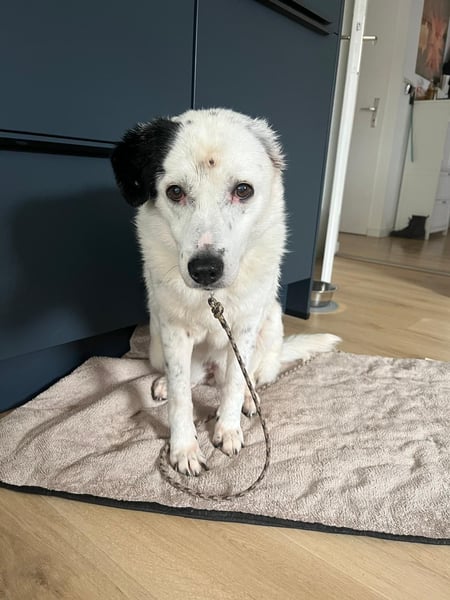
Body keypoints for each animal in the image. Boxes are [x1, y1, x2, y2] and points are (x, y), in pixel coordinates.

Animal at [111, 108, 340, 475]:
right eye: (174, 191)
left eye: (243, 190)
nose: (205, 270)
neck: (211, 299)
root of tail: (210, 371)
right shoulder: (174, 331)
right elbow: (181, 397)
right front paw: (184, 448)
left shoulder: (243, 328)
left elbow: (235, 383)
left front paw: (228, 430)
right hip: (158, 344)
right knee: (186, 379)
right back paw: (166, 383)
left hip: (270, 325)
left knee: (251, 377)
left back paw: (250, 399)